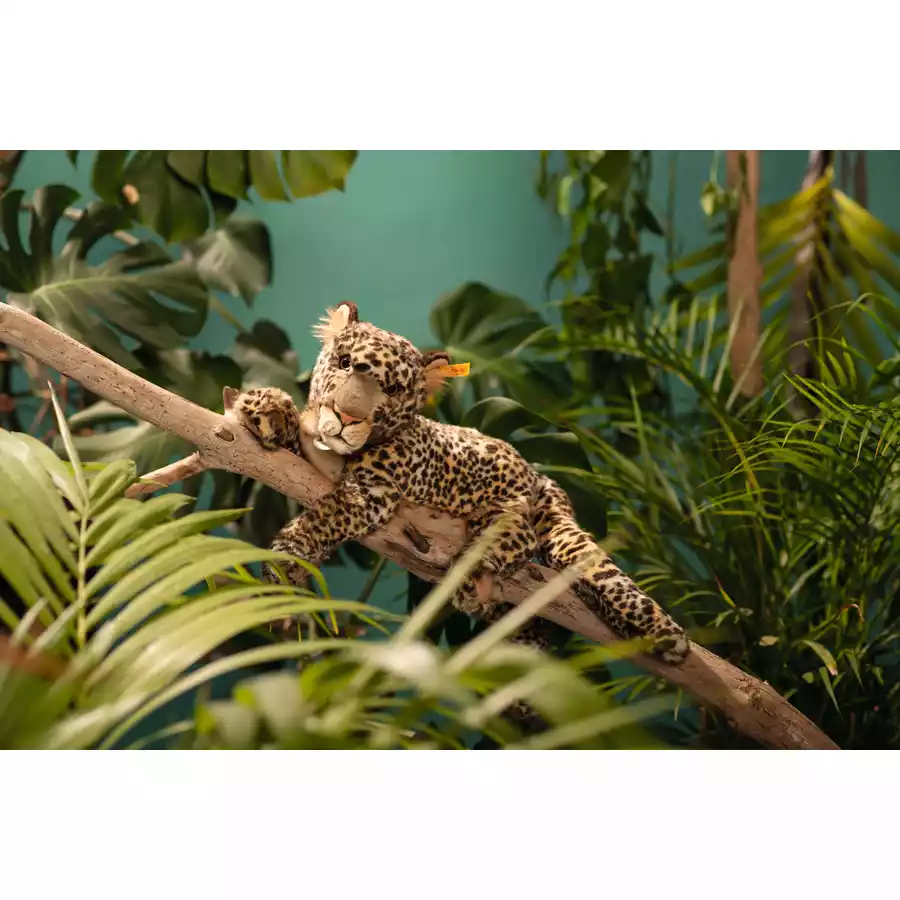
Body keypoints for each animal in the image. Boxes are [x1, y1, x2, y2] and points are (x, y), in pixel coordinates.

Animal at [232, 300, 690, 668]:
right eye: (344, 363)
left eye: (392, 389)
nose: (347, 416)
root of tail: (540, 475)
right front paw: (266, 409)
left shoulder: (374, 494)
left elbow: (325, 518)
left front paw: (286, 558)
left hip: (521, 514)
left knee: (540, 544)